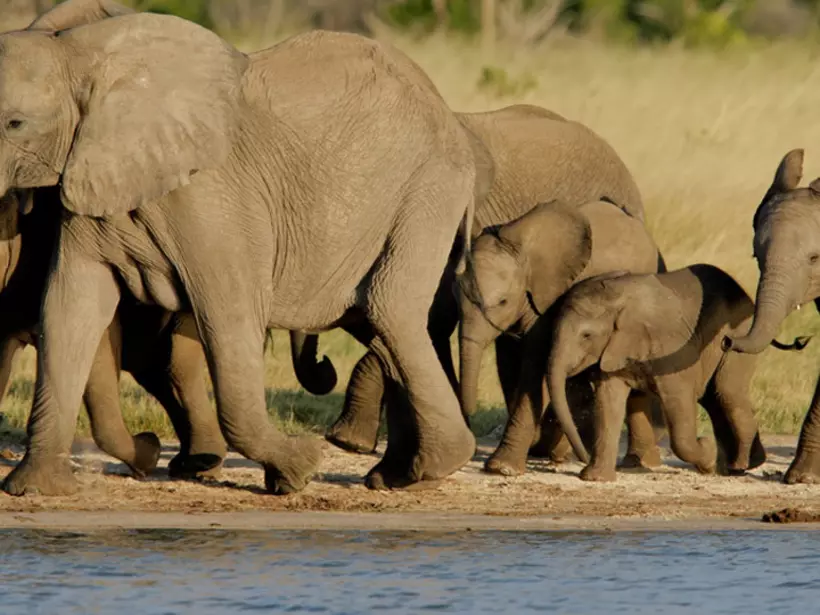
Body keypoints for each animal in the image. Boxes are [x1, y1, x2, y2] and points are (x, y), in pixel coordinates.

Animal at [0, 0, 483, 496]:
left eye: (15, 124)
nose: (149, 442)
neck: (81, 55)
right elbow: (68, 310)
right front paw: (34, 487)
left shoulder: (213, 201)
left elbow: (229, 315)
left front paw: (297, 472)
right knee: (377, 323)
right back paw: (397, 477)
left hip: (427, 190)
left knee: (390, 308)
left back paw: (432, 467)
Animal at [456, 198, 665, 476]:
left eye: (502, 301)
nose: (469, 414)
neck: (520, 246)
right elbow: (509, 364)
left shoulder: (549, 297)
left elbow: (535, 366)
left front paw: (502, 468)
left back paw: (637, 463)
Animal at [544, 264, 796, 481]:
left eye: (586, 336)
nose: (581, 457)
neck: (617, 299)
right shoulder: (612, 350)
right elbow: (608, 402)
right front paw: (595, 478)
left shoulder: (669, 346)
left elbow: (679, 402)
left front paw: (707, 453)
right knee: (715, 399)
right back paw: (735, 465)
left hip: (737, 336)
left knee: (728, 393)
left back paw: (739, 467)